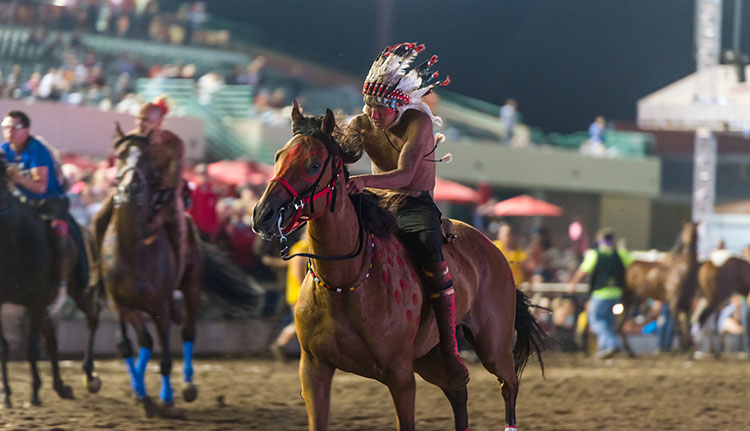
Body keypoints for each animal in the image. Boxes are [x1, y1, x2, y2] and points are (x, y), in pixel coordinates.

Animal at [0, 156, 106, 408]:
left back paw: (90, 376)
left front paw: (34, 393)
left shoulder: (36, 300)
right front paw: (6, 392)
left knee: (93, 316)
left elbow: (32, 348)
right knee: (52, 340)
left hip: (79, 289)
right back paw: (61, 386)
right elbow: (5, 347)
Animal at [100, 126, 260, 416]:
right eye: (120, 155)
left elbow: (165, 357)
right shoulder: (120, 304)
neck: (132, 250)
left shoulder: (160, 305)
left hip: (191, 287)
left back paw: (187, 386)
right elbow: (126, 346)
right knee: (145, 342)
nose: (130, 187)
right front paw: (141, 395)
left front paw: (165, 397)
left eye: (145, 158)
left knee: (187, 332)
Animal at [253, 104, 548, 431]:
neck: (345, 283)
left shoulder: (401, 378)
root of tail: (495, 251)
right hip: (430, 358)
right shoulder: (314, 370)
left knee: (509, 383)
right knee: (458, 390)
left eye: (314, 164)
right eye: (278, 156)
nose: (263, 215)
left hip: (493, 345)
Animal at [620, 221, 704, 356]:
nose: (689, 246)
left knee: (618, 326)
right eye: (685, 231)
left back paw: (629, 352)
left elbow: (688, 325)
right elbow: (678, 327)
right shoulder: (674, 303)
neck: (683, 271)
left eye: (695, 231)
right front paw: (682, 349)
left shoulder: (687, 303)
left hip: (629, 301)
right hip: (627, 301)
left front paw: (688, 348)